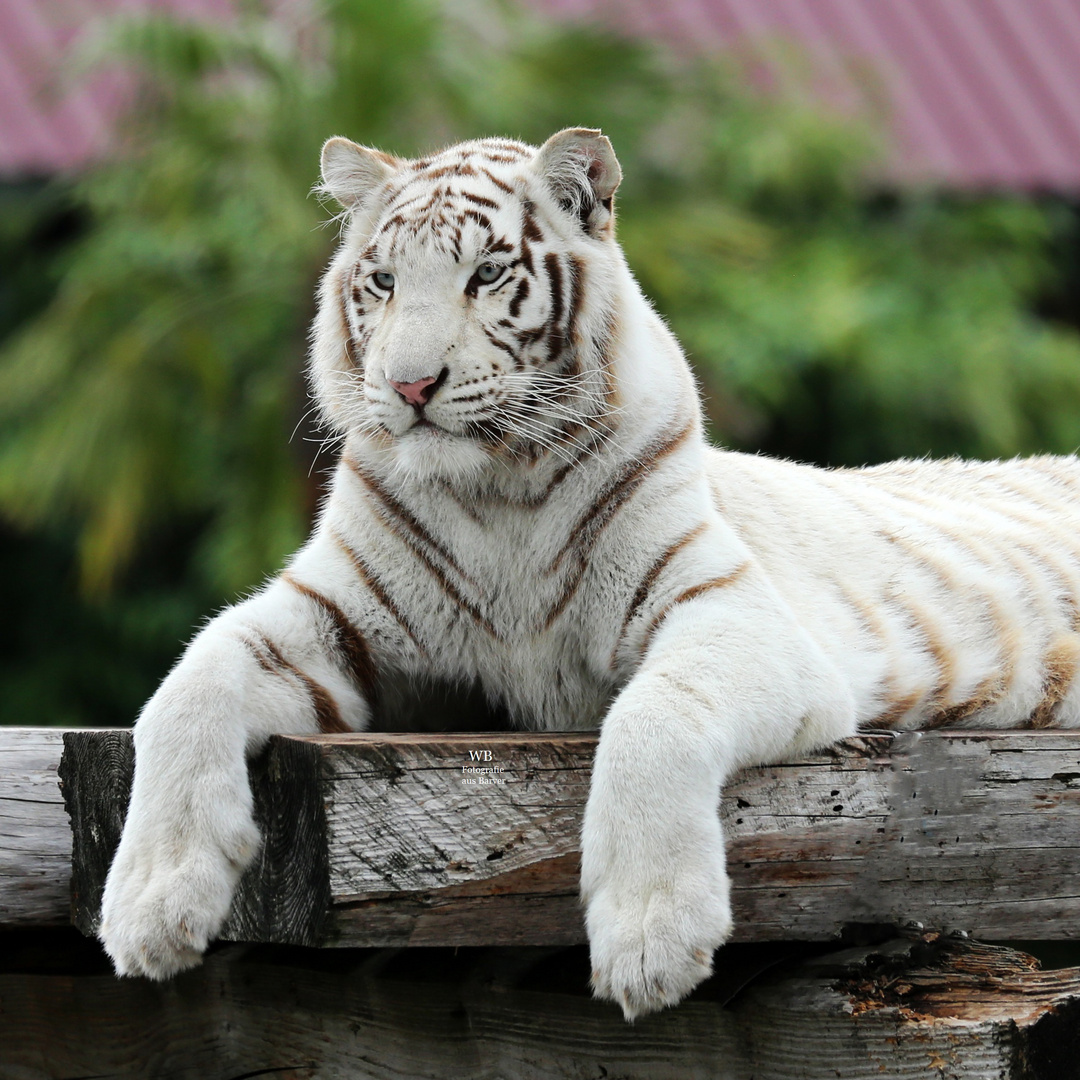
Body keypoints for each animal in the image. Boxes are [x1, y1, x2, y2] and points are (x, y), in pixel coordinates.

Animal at [97, 128, 1080, 1019]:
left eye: (487, 275)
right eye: (381, 282)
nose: (410, 387)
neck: (495, 490)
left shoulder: (736, 616)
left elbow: (654, 718)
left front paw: (652, 942)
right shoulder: (330, 613)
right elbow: (186, 688)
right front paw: (147, 907)